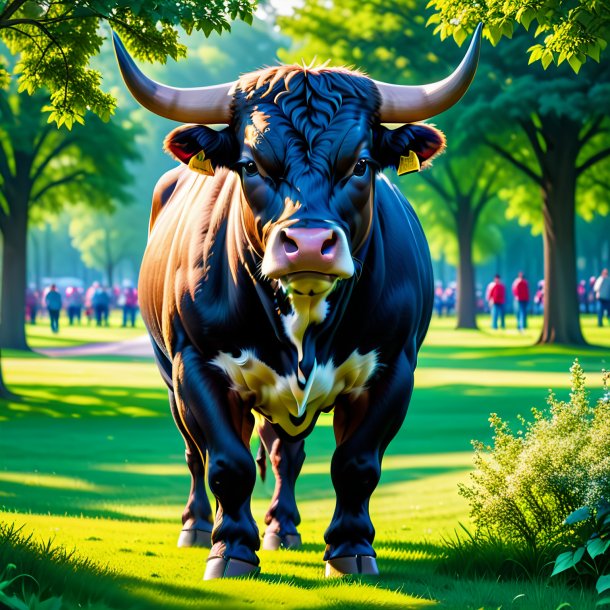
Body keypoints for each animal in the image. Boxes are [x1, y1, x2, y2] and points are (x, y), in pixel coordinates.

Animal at [111, 27, 478, 580]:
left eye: (361, 164)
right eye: (249, 165)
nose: (306, 244)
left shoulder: (394, 368)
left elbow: (356, 463)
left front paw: (351, 549)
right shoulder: (195, 364)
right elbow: (228, 462)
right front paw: (230, 550)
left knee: (286, 453)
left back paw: (282, 527)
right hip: (169, 375)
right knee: (197, 453)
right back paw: (198, 526)